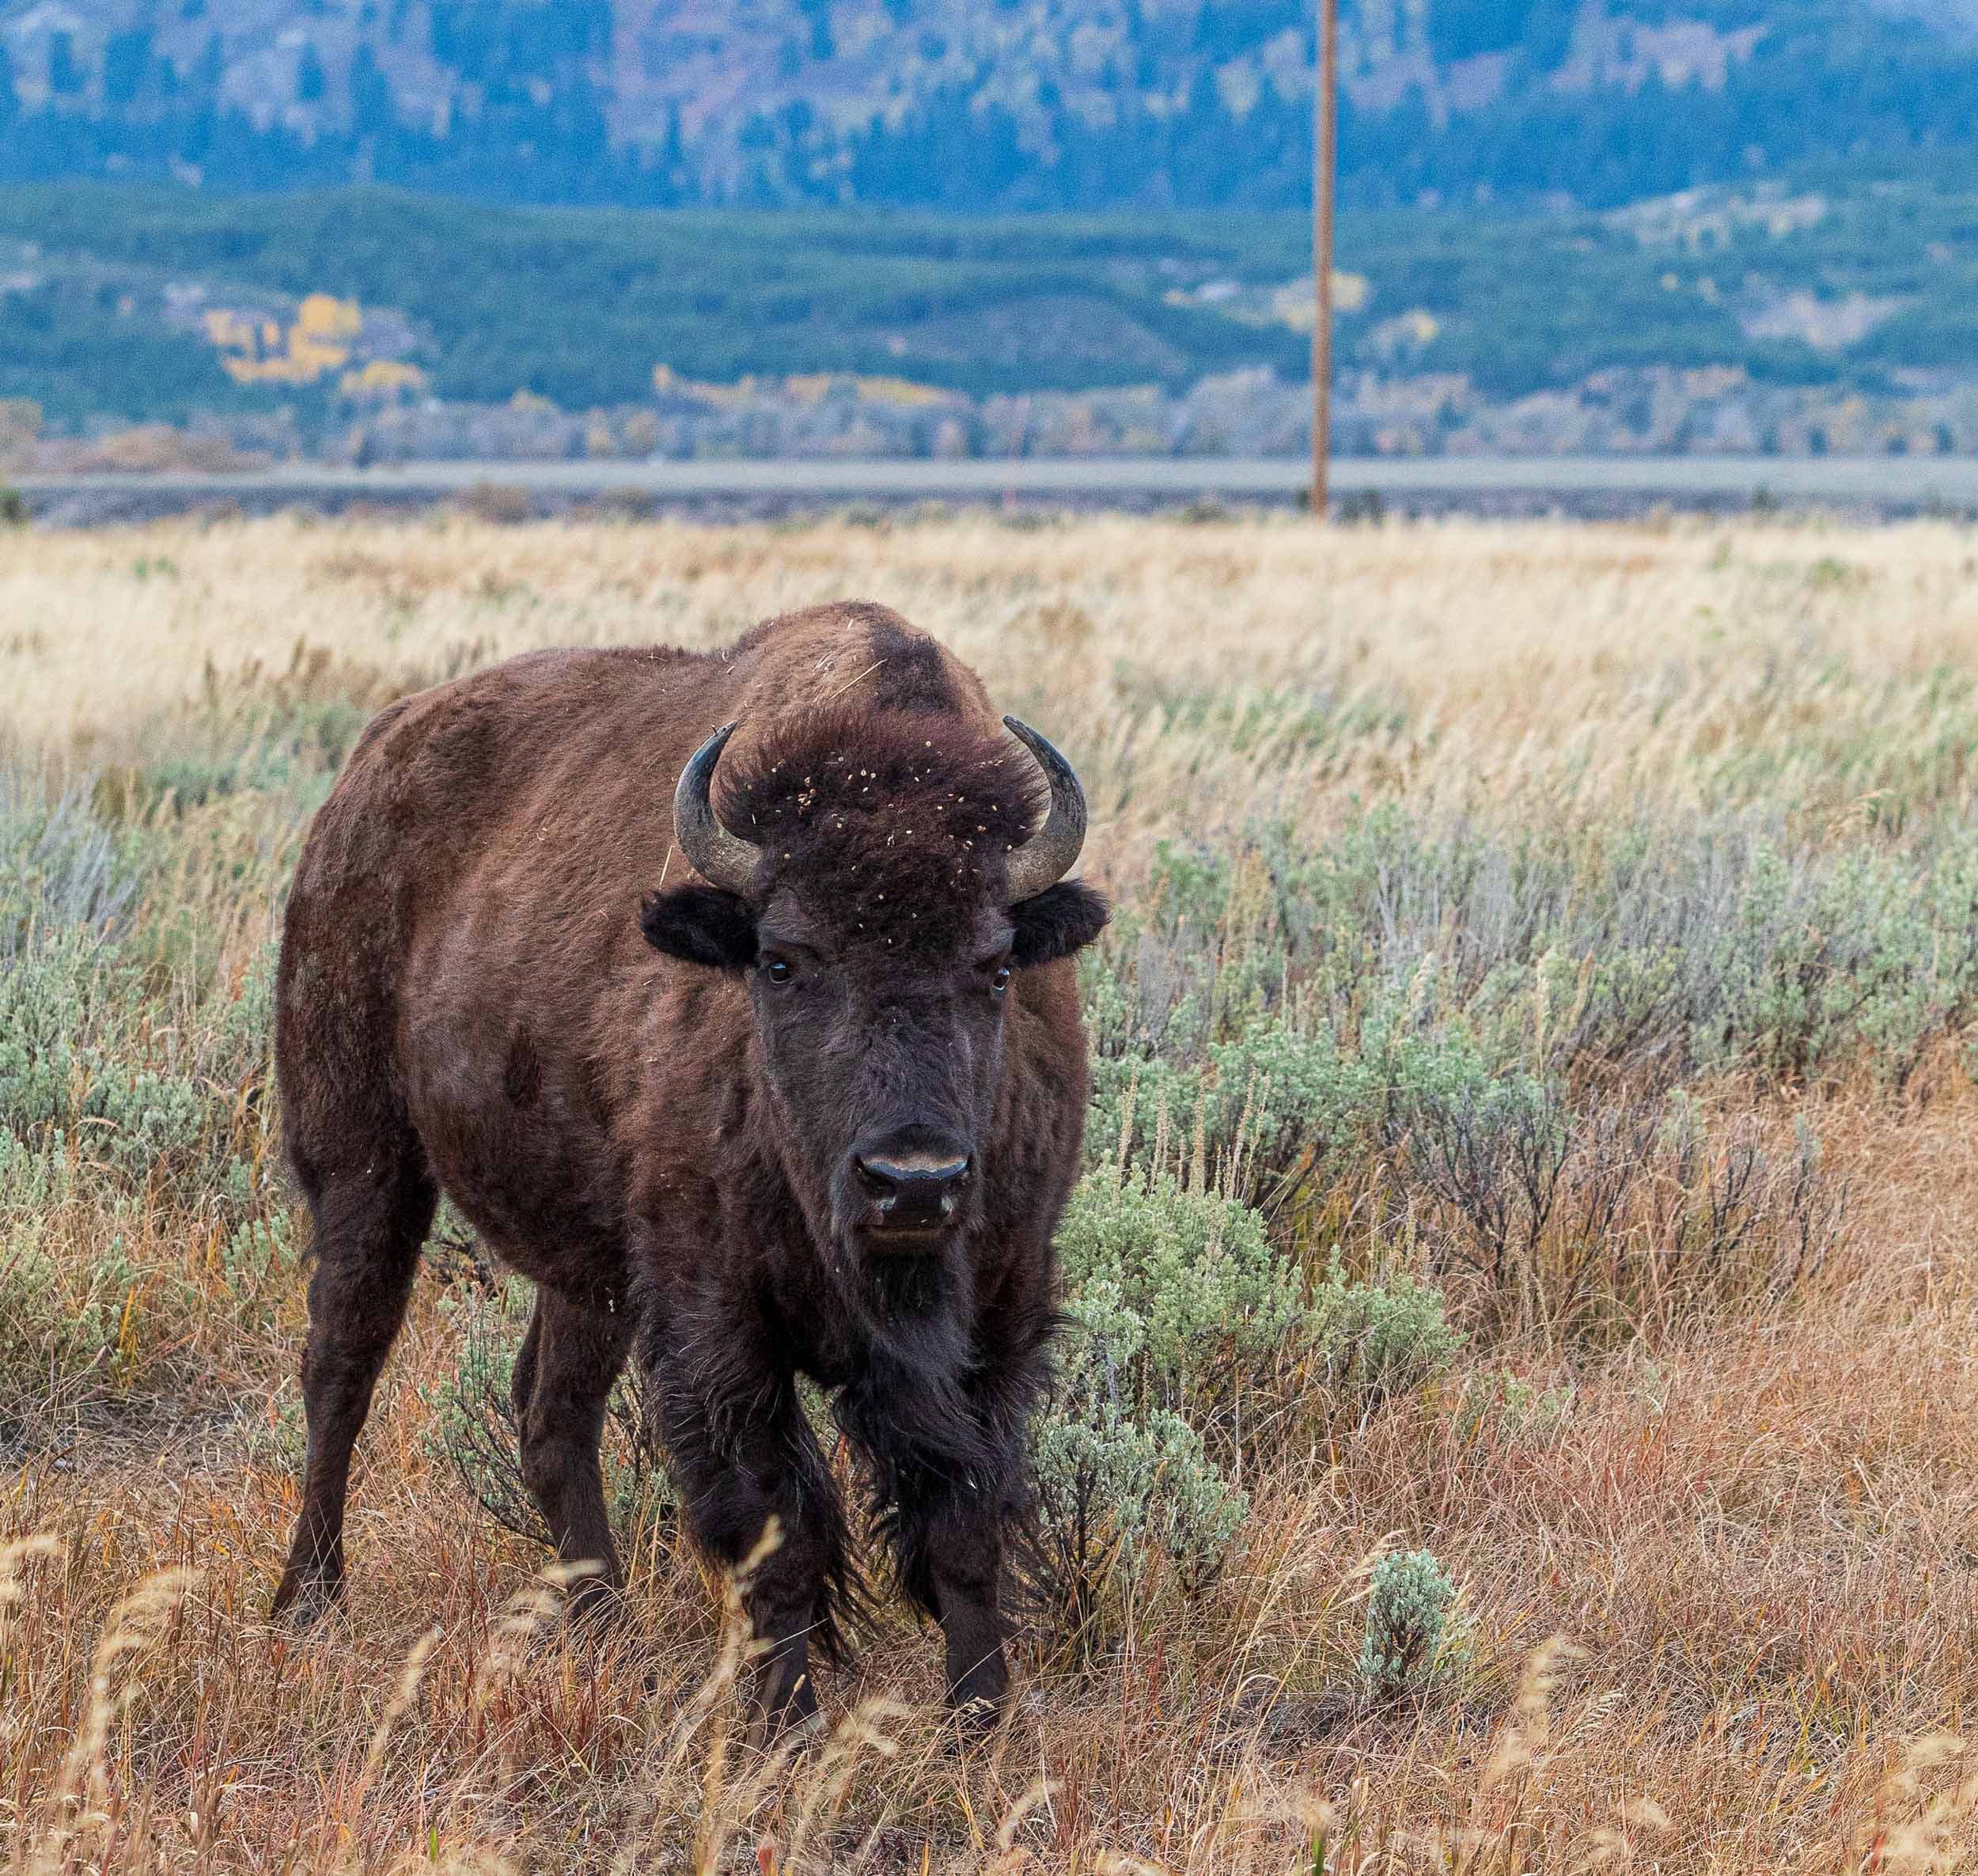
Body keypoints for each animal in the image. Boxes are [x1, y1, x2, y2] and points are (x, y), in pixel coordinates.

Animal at [270, 600, 1107, 1737]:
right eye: (784, 959)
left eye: (997, 964)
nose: (912, 1179)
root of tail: (372, 758)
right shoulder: (717, 1318)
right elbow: (774, 1525)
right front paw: (788, 1724)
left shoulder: (1001, 1309)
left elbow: (965, 1516)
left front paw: (981, 1717)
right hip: (363, 1158)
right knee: (343, 1363)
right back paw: (307, 1598)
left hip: (590, 1262)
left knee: (551, 1409)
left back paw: (601, 1622)